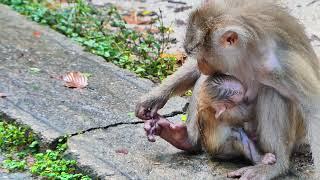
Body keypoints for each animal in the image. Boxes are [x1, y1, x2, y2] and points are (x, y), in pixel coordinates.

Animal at [144, 74, 276, 165]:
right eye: (242, 99)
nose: (246, 99)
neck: (210, 106)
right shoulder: (228, 113)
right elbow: (246, 113)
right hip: (222, 150)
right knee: (237, 135)